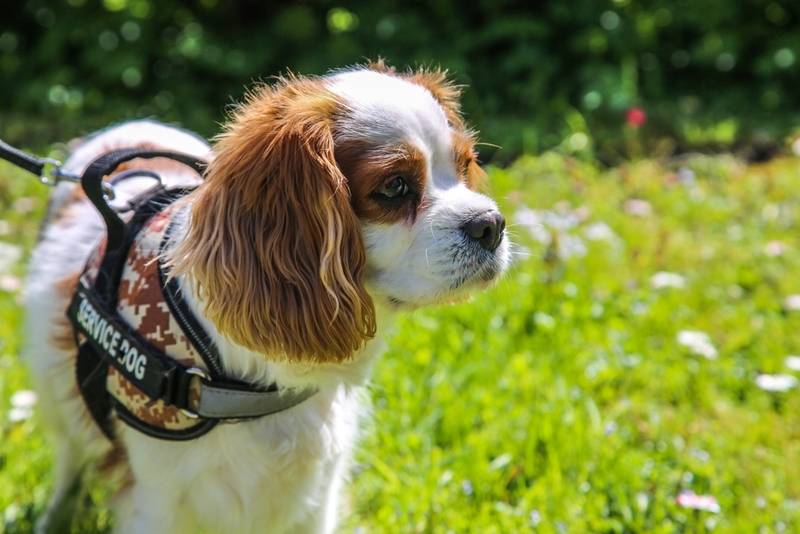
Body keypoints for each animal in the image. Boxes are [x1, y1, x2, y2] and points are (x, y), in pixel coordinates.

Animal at [25, 65, 512, 532]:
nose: (491, 224)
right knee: (69, 460)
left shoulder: (318, 497)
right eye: (394, 187)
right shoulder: (155, 500)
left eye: (465, 166)